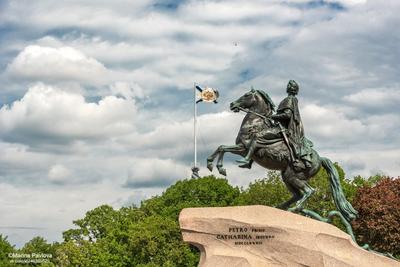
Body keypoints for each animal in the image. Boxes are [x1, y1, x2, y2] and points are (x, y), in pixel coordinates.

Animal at [206, 88, 356, 224]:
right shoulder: (240, 148)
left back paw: (294, 209)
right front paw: (213, 165)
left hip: (294, 176)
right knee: (297, 195)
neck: (255, 123)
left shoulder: (244, 148)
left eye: (247, 95)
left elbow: (226, 147)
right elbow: (221, 147)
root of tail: (320, 159)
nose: (232, 104)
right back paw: (280, 207)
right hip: (287, 177)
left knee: (309, 191)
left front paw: (222, 166)